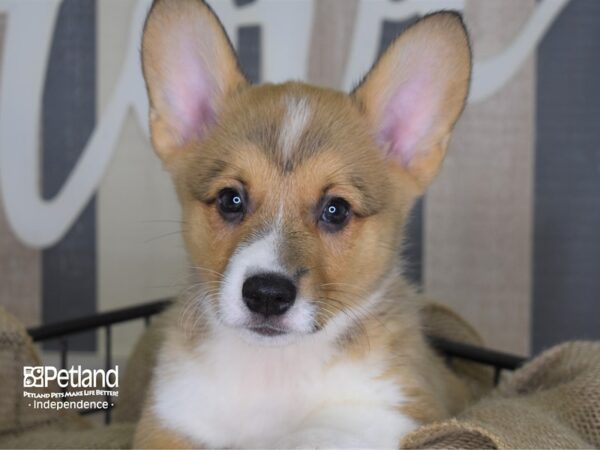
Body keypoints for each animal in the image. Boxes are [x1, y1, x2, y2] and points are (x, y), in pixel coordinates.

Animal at [135, 0, 474, 446]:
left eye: (336, 210)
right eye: (230, 199)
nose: (266, 294)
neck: (273, 370)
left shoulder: (395, 411)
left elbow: (317, 433)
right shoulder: (171, 419)